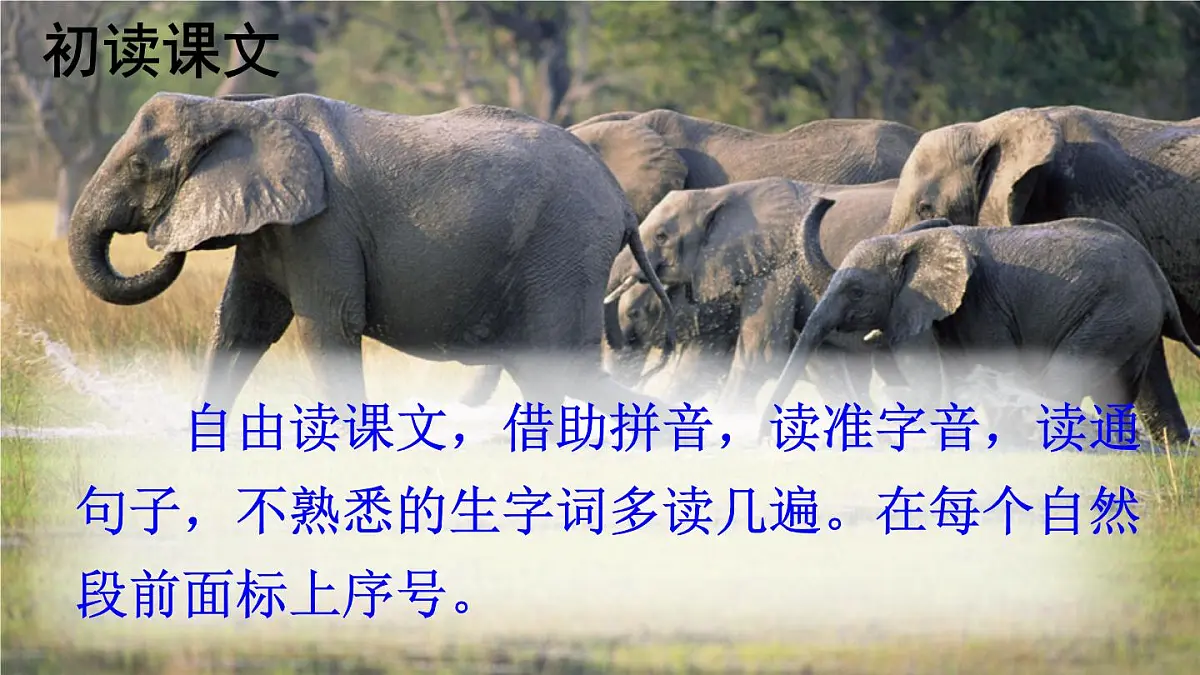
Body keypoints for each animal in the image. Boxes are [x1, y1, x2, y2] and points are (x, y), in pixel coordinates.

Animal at [67, 92, 676, 414]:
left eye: (139, 166)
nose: (159, 239)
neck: (248, 110)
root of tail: (621, 203)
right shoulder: (273, 229)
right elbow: (241, 324)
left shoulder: (323, 227)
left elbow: (328, 327)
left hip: (565, 245)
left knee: (557, 363)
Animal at [761, 216, 1200, 446]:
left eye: (856, 291)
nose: (761, 440)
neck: (915, 242)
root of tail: (1158, 279)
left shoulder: (981, 302)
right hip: (1131, 319)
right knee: (1125, 385)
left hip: (1114, 312)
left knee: (1066, 377)